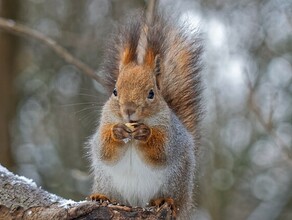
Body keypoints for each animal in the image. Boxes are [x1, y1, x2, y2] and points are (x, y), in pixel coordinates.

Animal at [89, 10, 203, 220]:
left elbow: (161, 152)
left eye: (151, 93)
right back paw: (100, 196)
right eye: (115, 91)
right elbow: (104, 150)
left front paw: (145, 134)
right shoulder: (105, 122)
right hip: (106, 181)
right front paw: (117, 132)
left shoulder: (170, 134)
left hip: (176, 183)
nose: (129, 109)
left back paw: (164, 200)